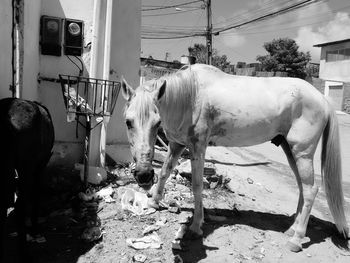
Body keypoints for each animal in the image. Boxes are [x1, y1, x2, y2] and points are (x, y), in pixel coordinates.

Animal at [0, 98, 54, 262]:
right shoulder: (39, 167)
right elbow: (36, 194)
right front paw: (35, 228)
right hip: (26, 167)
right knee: (20, 205)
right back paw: (24, 252)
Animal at [121, 63, 348, 252]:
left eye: (157, 123)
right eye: (128, 122)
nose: (143, 175)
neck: (190, 97)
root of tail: (322, 99)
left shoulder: (198, 148)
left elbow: (196, 185)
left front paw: (196, 226)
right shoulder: (177, 145)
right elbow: (165, 172)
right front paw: (154, 201)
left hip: (302, 152)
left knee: (310, 190)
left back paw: (297, 239)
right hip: (290, 150)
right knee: (302, 187)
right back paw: (292, 229)